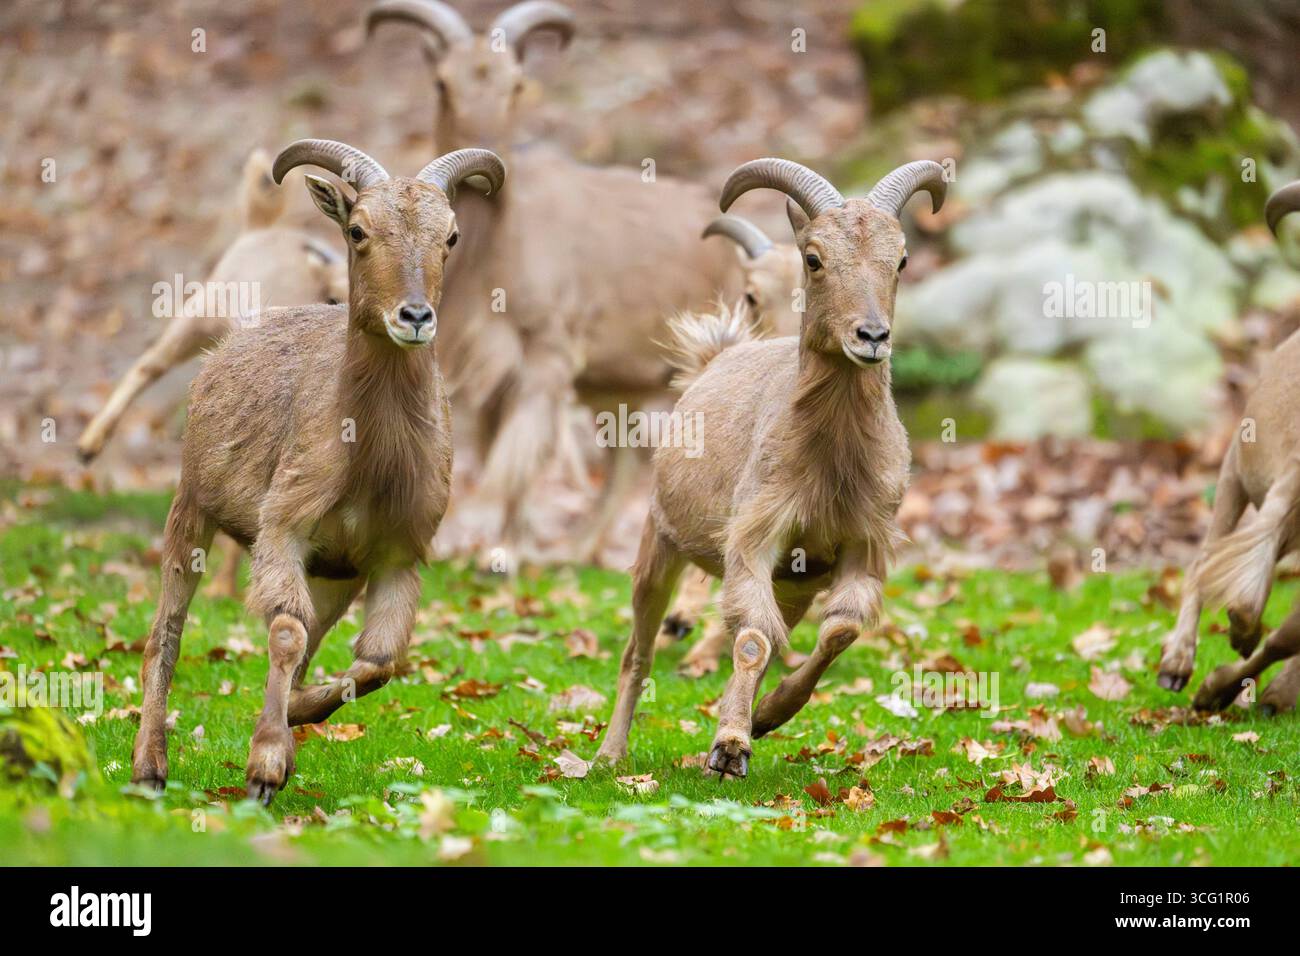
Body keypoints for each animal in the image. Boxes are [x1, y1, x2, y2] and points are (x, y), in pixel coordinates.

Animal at [128, 139, 505, 804]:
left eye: (451, 236)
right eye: (358, 230)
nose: (415, 316)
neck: (370, 458)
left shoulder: (393, 556)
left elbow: (378, 663)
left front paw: (290, 730)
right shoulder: (283, 528)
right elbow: (287, 631)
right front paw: (262, 766)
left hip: (337, 576)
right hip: (190, 508)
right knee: (165, 634)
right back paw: (150, 767)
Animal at [366, 0, 738, 565]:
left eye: (517, 84)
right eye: (441, 83)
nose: (479, 166)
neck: (498, 247)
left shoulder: (547, 353)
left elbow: (517, 454)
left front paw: (499, 548)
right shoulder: (491, 365)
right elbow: (501, 448)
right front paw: (510, 545)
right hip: (615, 381)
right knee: (627, 456)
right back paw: (581, 549)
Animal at [592, 157, 946, 776]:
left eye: (901, 259)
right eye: (814, 257)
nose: (872, 336)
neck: (831, 462)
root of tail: (714, 357)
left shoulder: (858, 545)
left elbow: (838, 629)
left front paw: (765, 718)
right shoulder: (756, 535)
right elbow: (753, 637)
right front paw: (730, 746)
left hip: (793, 585)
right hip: (660, 542)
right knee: (638, 652)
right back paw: (611, 754)